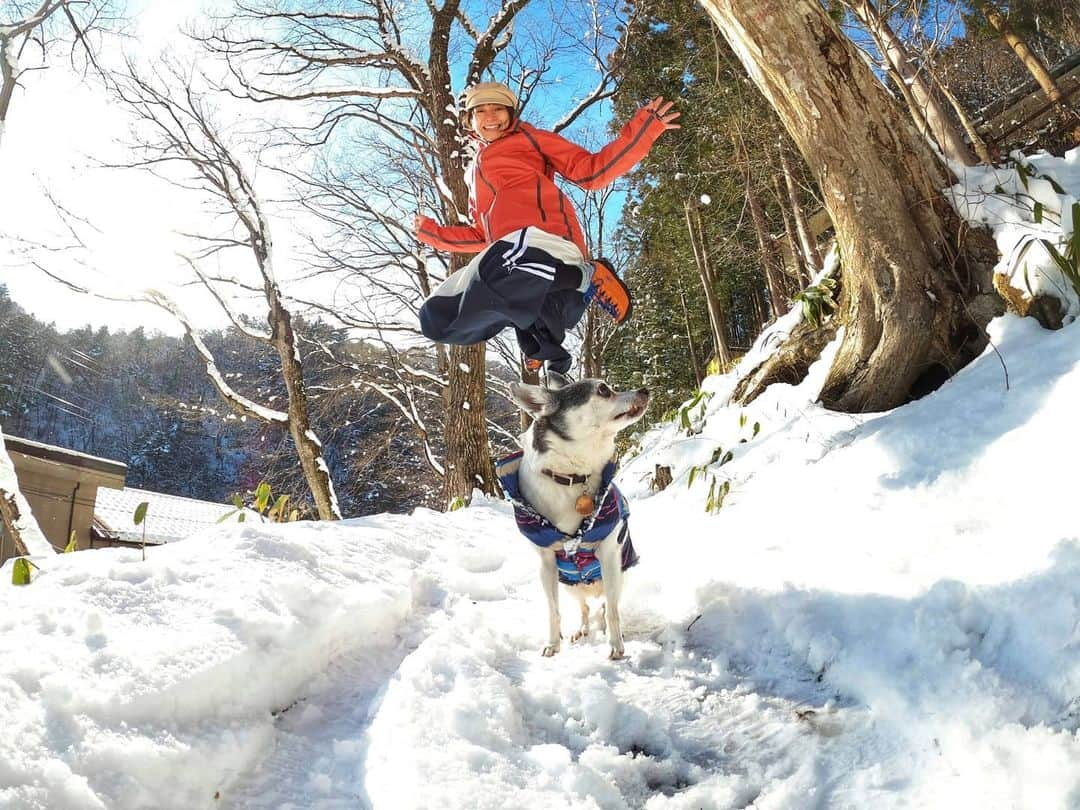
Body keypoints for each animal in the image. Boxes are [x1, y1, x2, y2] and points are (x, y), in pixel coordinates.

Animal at [498, 373, 648, 660]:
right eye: (604, 390)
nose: (644, 390)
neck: (572, 477)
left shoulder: (609, 554)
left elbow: (612, 612)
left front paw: (615, 645)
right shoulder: (546, 563)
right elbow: (552, 610)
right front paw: (552, 643)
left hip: (617, 575)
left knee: (606, 606)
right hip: (568, 585)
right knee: (585, 608)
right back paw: (581, 630)